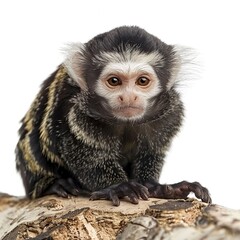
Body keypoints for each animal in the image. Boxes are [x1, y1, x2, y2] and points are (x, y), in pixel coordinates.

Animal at [15, 25, 211, 206]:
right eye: (114, 81)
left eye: (142, 81)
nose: (129, 97)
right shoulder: (75, 111)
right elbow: (85, 155)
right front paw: (119, 187)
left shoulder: (169, 113)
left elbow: (151, 150)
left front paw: (159, 188)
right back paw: (54, 184)